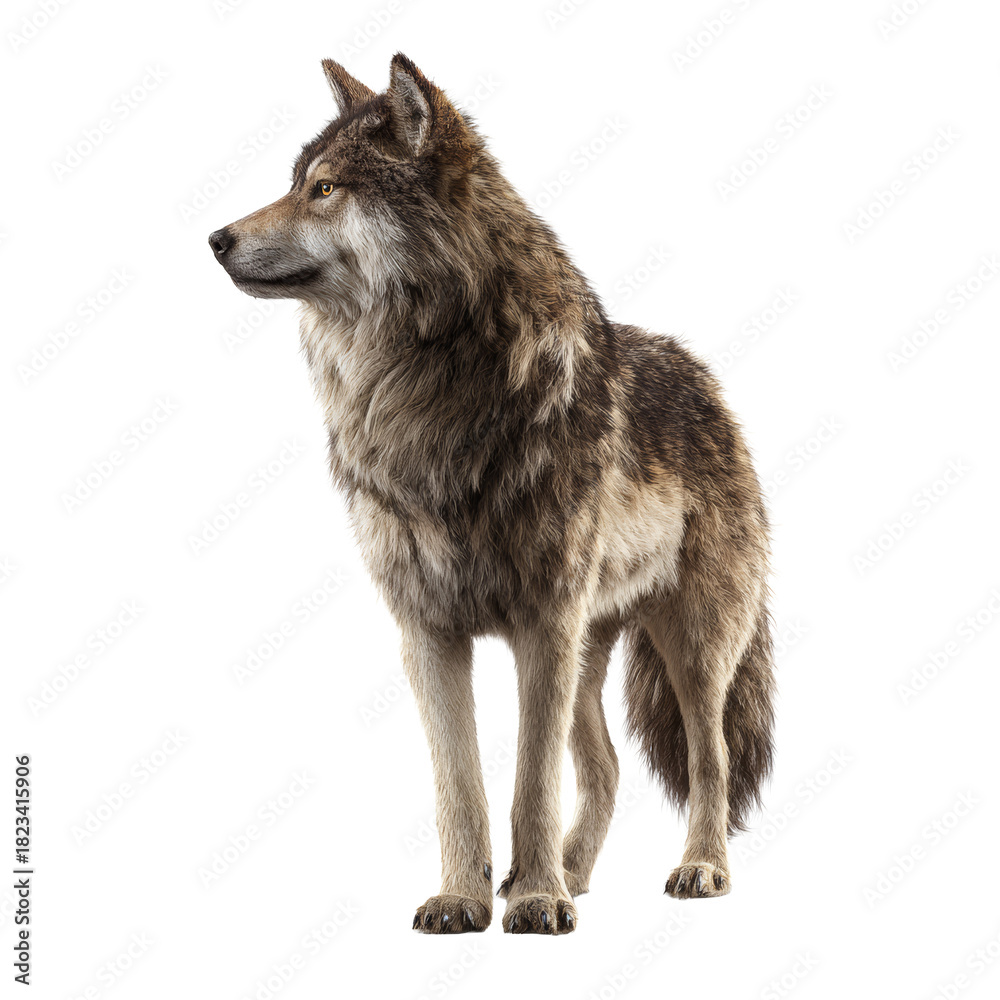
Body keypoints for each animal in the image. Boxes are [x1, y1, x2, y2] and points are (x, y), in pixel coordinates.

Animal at [209, 54, 775, 935]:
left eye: (325, 189)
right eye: (296, 183)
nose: (215, 239)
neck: (420, 386)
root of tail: (705, 379)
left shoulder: (543, 625)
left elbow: (529, 783)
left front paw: (536, 900)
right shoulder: (428, 631)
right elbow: (463, 787)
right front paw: (467, 897)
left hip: (688, 645)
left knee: (708, 759)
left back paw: (697, 869)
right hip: (589, 653)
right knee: (608, 768)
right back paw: (573, 874)